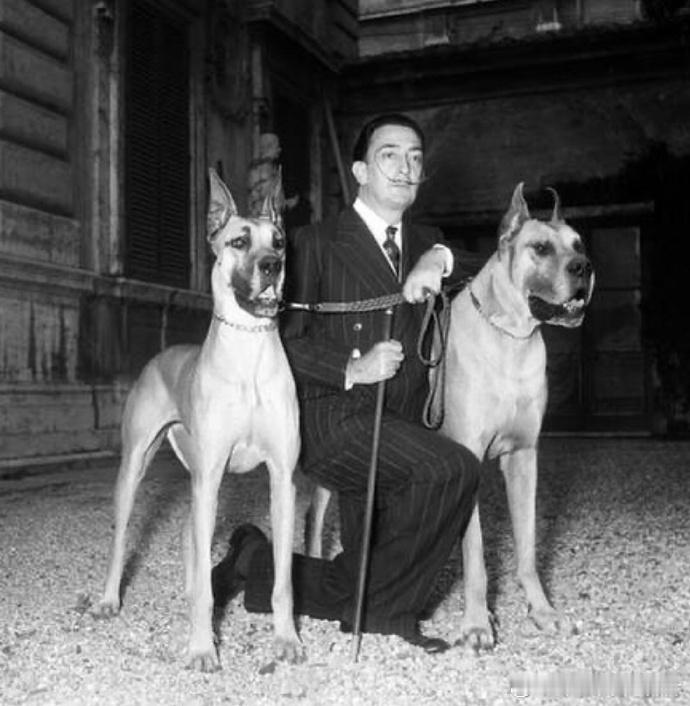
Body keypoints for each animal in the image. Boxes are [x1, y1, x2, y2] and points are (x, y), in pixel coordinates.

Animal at [93, 169, 303, 671]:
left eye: (279, 242)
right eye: (240, 241)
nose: (272, 266)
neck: (249, 353)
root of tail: (161, 355)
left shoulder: (281, 479)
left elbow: (283, 581)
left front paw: (286, 639)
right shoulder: (210, 476)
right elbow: (207, 590)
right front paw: (203, 647)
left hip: (197, 483)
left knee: (192, 540)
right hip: (136, 468)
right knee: (121, 540)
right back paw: (109, 599)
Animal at [306, 183, 593, 650]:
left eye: (579, 245)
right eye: (540, 248)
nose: (583, 267)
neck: (508, 338)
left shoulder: (524, 458)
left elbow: (528, 546)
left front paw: (542, 611)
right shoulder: (469, 458)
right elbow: (475, 554)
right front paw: (476, 623)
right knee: (314, 519)